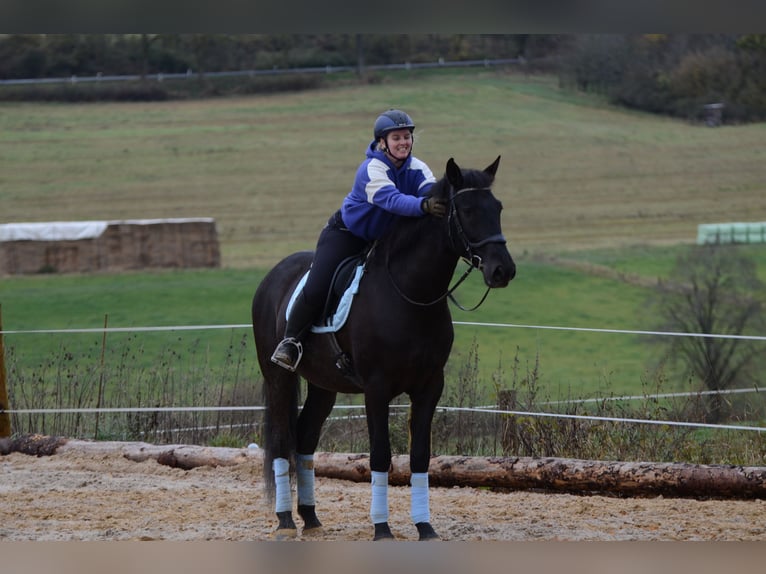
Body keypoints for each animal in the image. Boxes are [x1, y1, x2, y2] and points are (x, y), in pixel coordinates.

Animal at [252, 155, 516, 544]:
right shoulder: (376, 389)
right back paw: (286, 520)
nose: (503, 270)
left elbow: (420, 456)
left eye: (497, 208)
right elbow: (380, 455)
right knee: (283, 439)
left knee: (305, 438)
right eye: (467, 210)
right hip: (278, 379)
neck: (411, 293)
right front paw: (382, 528)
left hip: (323, 386)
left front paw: (425, 527)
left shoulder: (429, 387)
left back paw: (311, 517)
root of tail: (272, 277)